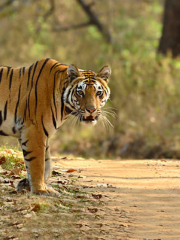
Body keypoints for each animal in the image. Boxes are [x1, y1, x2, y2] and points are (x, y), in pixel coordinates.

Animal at [0, 58, 111, 197]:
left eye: (99, 93)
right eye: (80, 92)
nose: (91, 110)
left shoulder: (42, 133)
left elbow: (46, 164)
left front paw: (26, 184)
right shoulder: (34, 131)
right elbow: (37, 163)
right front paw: (40, 190)